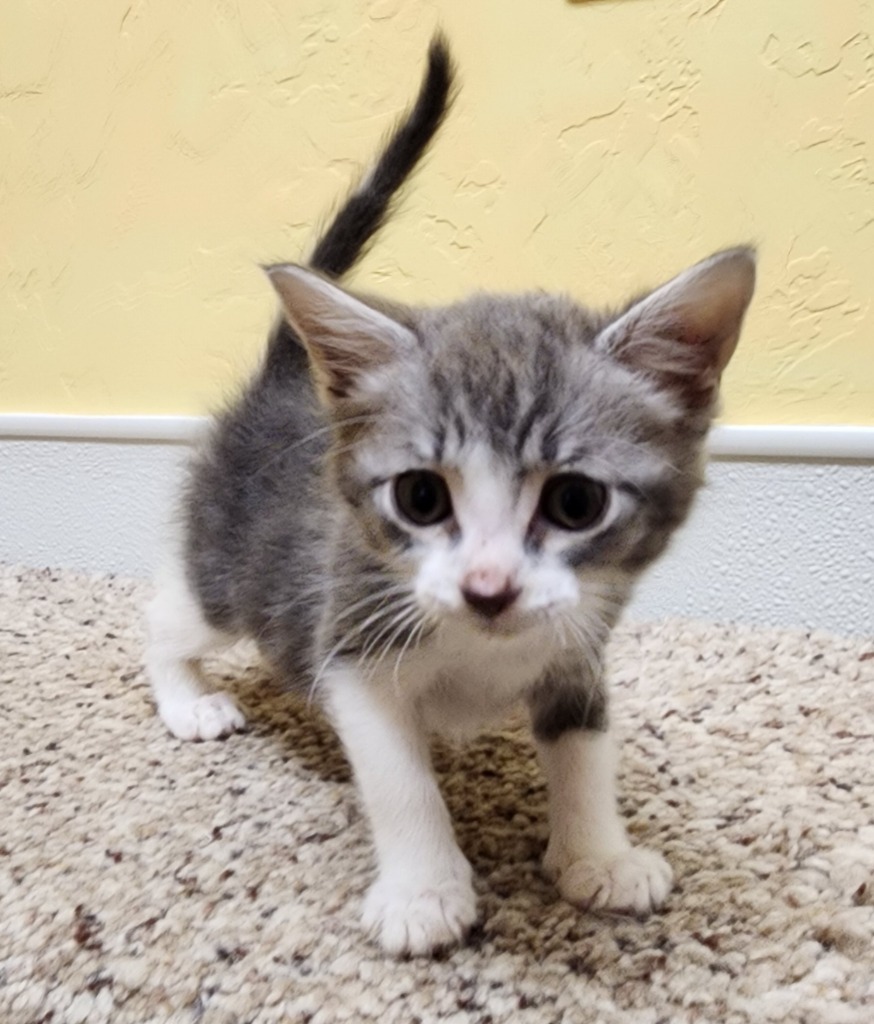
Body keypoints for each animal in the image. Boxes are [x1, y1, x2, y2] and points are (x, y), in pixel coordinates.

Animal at [147, 36, 757, 954]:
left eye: (575, 504)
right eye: (421, 498)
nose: (488, 587)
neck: (483, 650)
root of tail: (287, 379)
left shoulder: (579, 644)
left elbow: (587, 749)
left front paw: (599, 856)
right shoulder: (350, 641)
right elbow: (400, 782)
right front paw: (424, 891)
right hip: (230, 575)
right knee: (167, 610)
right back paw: (187, 699)